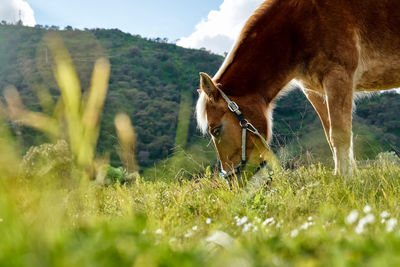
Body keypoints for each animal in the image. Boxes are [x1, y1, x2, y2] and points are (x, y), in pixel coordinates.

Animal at [196, 0, 400, 177]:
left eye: (216, 130)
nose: (232, 180)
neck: (298, 25)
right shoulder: (316, 92)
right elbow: (331, 137)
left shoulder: (338, 76)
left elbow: (340, 135)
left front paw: (345, 179)